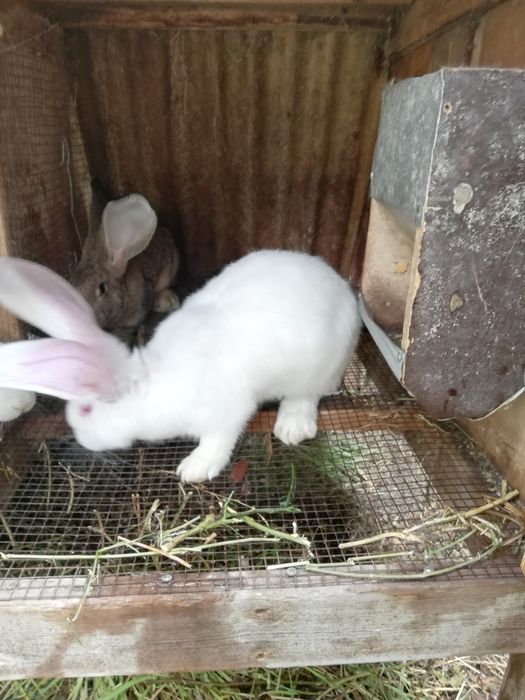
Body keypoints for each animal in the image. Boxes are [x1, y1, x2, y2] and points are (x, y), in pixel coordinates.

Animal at [0, 251, 361, 482]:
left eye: (86, 410)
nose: (81, 439)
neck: (149, 384)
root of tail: (343, 291)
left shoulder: (227, 410)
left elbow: (218, 439)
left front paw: (194, 469)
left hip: (317, 367)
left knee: (306, 395)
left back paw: (291, 426)